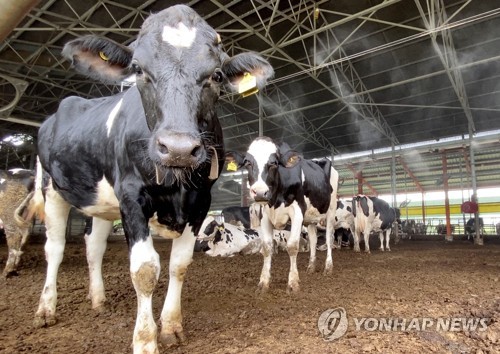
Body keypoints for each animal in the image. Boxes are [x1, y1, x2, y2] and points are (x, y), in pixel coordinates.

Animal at [27, 4, 274, 352]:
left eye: (216, 75)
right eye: (138, 70)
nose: (179, 148)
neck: (176, 186)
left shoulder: (201, 201)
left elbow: (179, 264)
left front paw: (170, 326)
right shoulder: (132, 197)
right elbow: (144, 269)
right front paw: (145, 339)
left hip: (101, 203)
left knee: (94, 246)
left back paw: (98, 299)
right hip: (52, 190)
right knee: (55, 248)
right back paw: (46, 309)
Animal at [228, 138, 340, 294]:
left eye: (274, 163)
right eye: (247, 162)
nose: (260, 192)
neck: (275, 200)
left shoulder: (297, 212)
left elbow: (292, 246)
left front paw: (293, 283)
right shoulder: (265, 216)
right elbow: (267, 247)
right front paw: (263, 283)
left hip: (331, 208)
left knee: (329, 238)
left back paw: (328, 268)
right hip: (310, 217)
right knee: (313, 240)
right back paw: (311, 267)